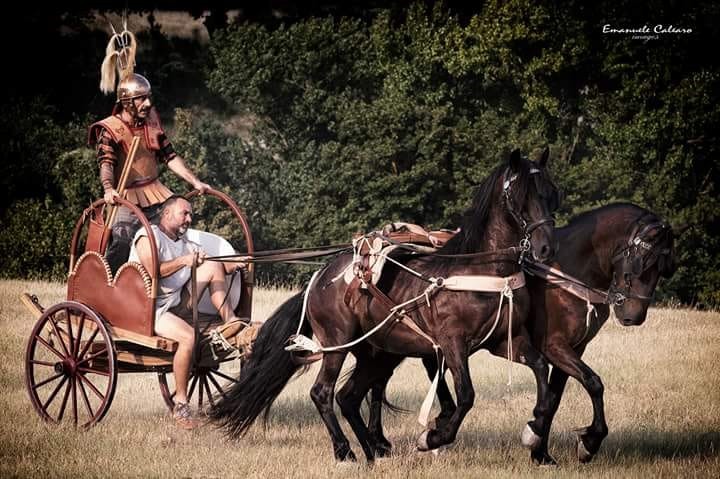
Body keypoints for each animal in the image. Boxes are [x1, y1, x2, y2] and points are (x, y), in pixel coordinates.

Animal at [211, 151, 560, 464]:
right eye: (520, 197)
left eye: (550, 195)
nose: (545, 248)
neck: (481, 271)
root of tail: (319, 278)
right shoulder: (453, 345)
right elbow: (465, 396)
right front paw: (432, 437)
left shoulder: (505, 341)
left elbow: (541, 370)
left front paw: (534, 431)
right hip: (339, 345)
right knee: (324, 393)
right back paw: (346, 451)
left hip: (377, 354)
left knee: (348, 396)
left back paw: (372, 449)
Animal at [368, 202, 676, 464]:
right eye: (642, 262)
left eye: (663, 269)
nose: (633, 316)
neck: (566, 273)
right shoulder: (553, 346)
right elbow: (589, 383)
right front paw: (578, 443)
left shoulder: (573, 349)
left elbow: (563, 394)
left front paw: (546, 449)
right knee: (378, 384)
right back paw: (380, 442)